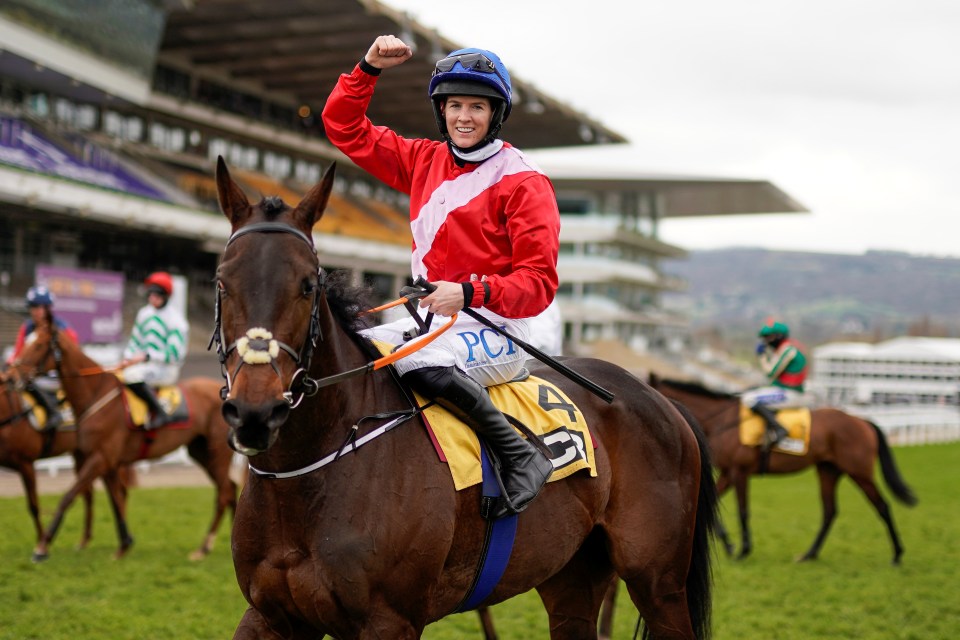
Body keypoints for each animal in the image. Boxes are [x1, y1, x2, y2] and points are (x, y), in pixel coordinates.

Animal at [11, 322, 238, 564]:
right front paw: (124, 545)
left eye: (39, 345)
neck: (96, 394)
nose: (14, 375)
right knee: (230, 488)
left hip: (217, 452)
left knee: (224, 493)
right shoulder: (108, 461)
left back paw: (204, 547)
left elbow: (69, 496)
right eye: (27, 342)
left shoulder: (100, 458)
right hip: (201, 452)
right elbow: (116, 501)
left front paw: (42, 547)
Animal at [214, 156, 716, 640]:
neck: (307, 472)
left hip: (658, 580)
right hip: (572, 573)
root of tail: (659, 399)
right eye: (221, 280)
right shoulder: (271, 615)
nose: (256, 411)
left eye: (307, 285)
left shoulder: (390, 620)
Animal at [644, 376, 916, 564]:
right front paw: (730, 546)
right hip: (828, 471)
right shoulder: (728, 472)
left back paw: (897, 554)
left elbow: (743, 511)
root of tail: (862, 421)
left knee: (882, 506)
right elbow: (711, 505)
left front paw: (743, 549)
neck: (722, 421)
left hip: (859, 472)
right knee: (829, 511)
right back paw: (809, 554)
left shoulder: (740, 471)